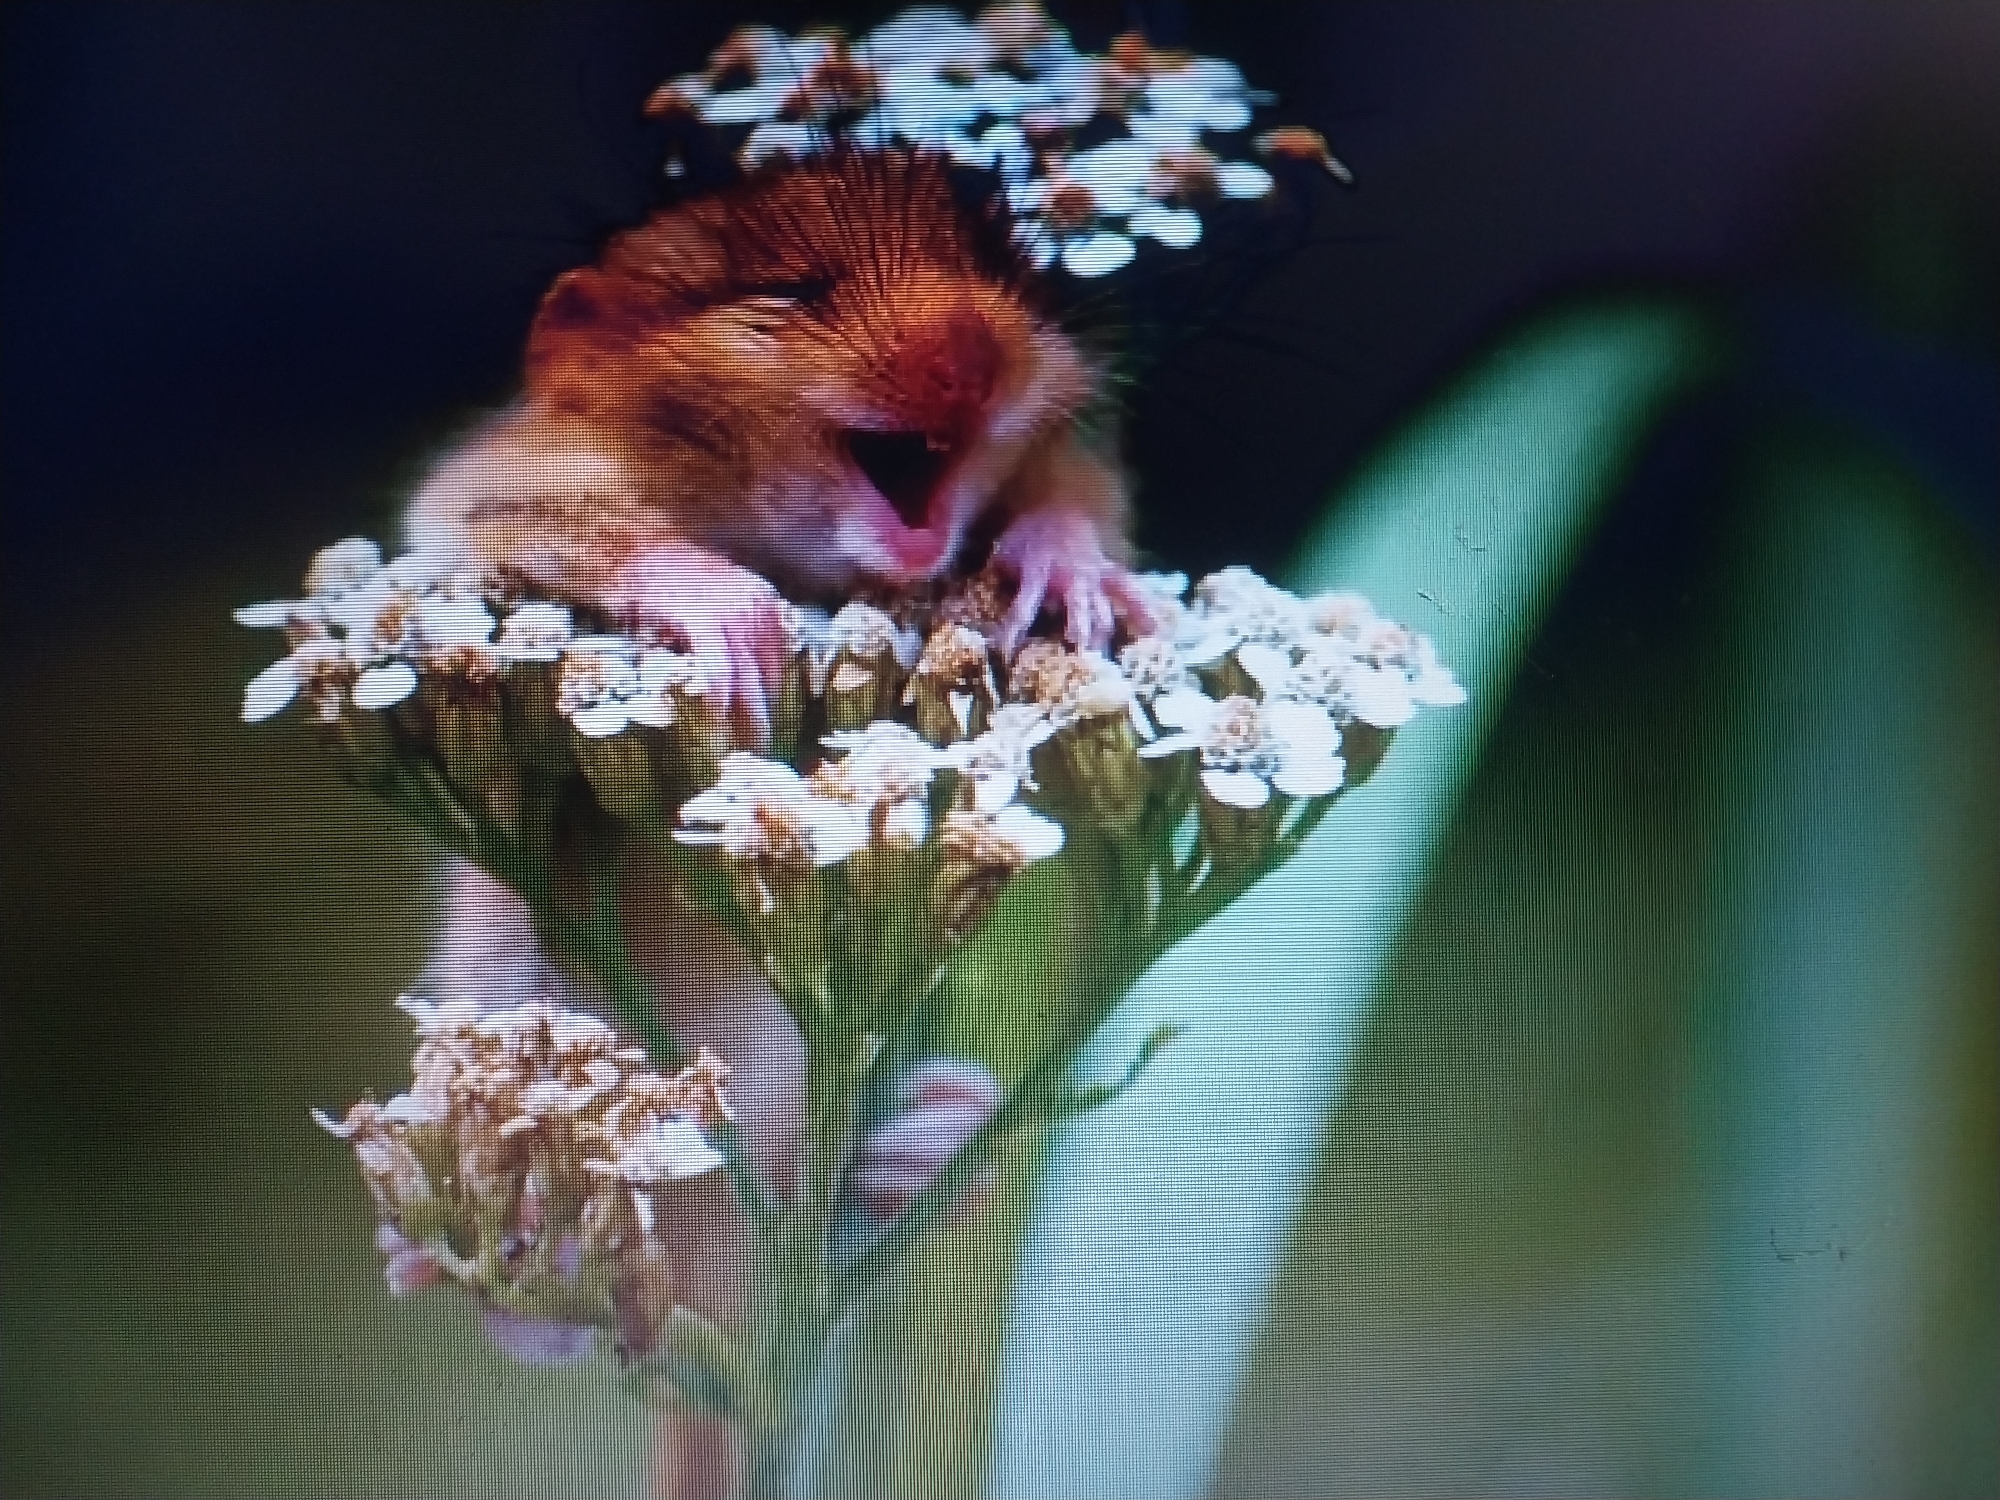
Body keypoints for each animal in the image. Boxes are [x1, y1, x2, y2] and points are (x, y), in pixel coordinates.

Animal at [408, 145, 1154, 745]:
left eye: (996, 272)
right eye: (793, 290)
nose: (974, 363)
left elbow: (1072, 499)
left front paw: (1072, 576)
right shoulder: (483, 494)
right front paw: (740, 627)